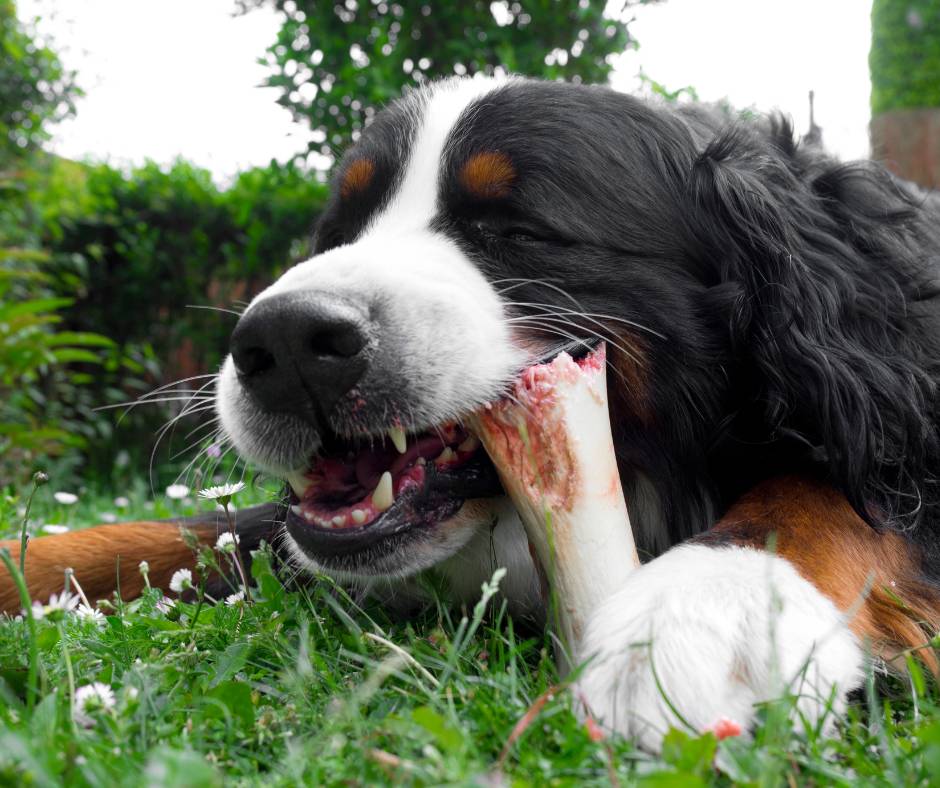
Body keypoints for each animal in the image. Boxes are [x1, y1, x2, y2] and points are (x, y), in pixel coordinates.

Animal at [5, 78, 940, 752]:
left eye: (514, 229)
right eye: (335, 232)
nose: (285, 339)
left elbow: (813, 497)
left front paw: (707, 607)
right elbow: (151, 534)